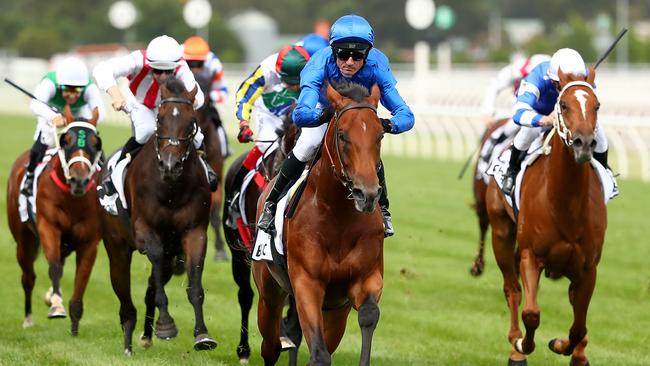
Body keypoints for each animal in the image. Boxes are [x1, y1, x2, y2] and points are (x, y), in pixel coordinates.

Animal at [6, 111, 102, 334]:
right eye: (66, 140)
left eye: (96, 143)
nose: (79, 179)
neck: (73, 200)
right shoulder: (49, 228)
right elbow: (54, 267)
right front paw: (57, 306)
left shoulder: (89, 243)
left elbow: (82, 277)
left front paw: (75, 323)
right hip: (23, 241)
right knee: (28, 278)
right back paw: (28, 319)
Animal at [98, 78, 215, 356]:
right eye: (160, 120)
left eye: (191, 122)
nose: (170, 165)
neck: (171, 189)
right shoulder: (146, 232)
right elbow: (157, 274)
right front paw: (166, 325)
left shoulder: (194, 233)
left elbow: (194, 287)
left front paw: (202, 334)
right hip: (117, 248)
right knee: (125, 298)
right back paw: (129, 341)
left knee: (151, 286)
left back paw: (146, 335)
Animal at [252, 83, 384, 366]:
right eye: (343, 135)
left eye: (380, 135)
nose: (367, 193)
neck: (338, 218)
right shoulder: (306, 283)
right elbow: (319, 354)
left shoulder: (365, 278)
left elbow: (369, 313)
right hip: (269, 291)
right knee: (271, 344)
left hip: (335, 310)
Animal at [484, 67, 604, 366]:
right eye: (564, 105)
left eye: (596, 105)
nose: (584, 143)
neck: (565, 206)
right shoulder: (531, 255)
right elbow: (531, 313)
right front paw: (522, 344)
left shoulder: (588, 268)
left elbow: (578, 325)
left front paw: (564, 346)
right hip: (501, 233)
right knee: (512, 289)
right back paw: (515, 349)